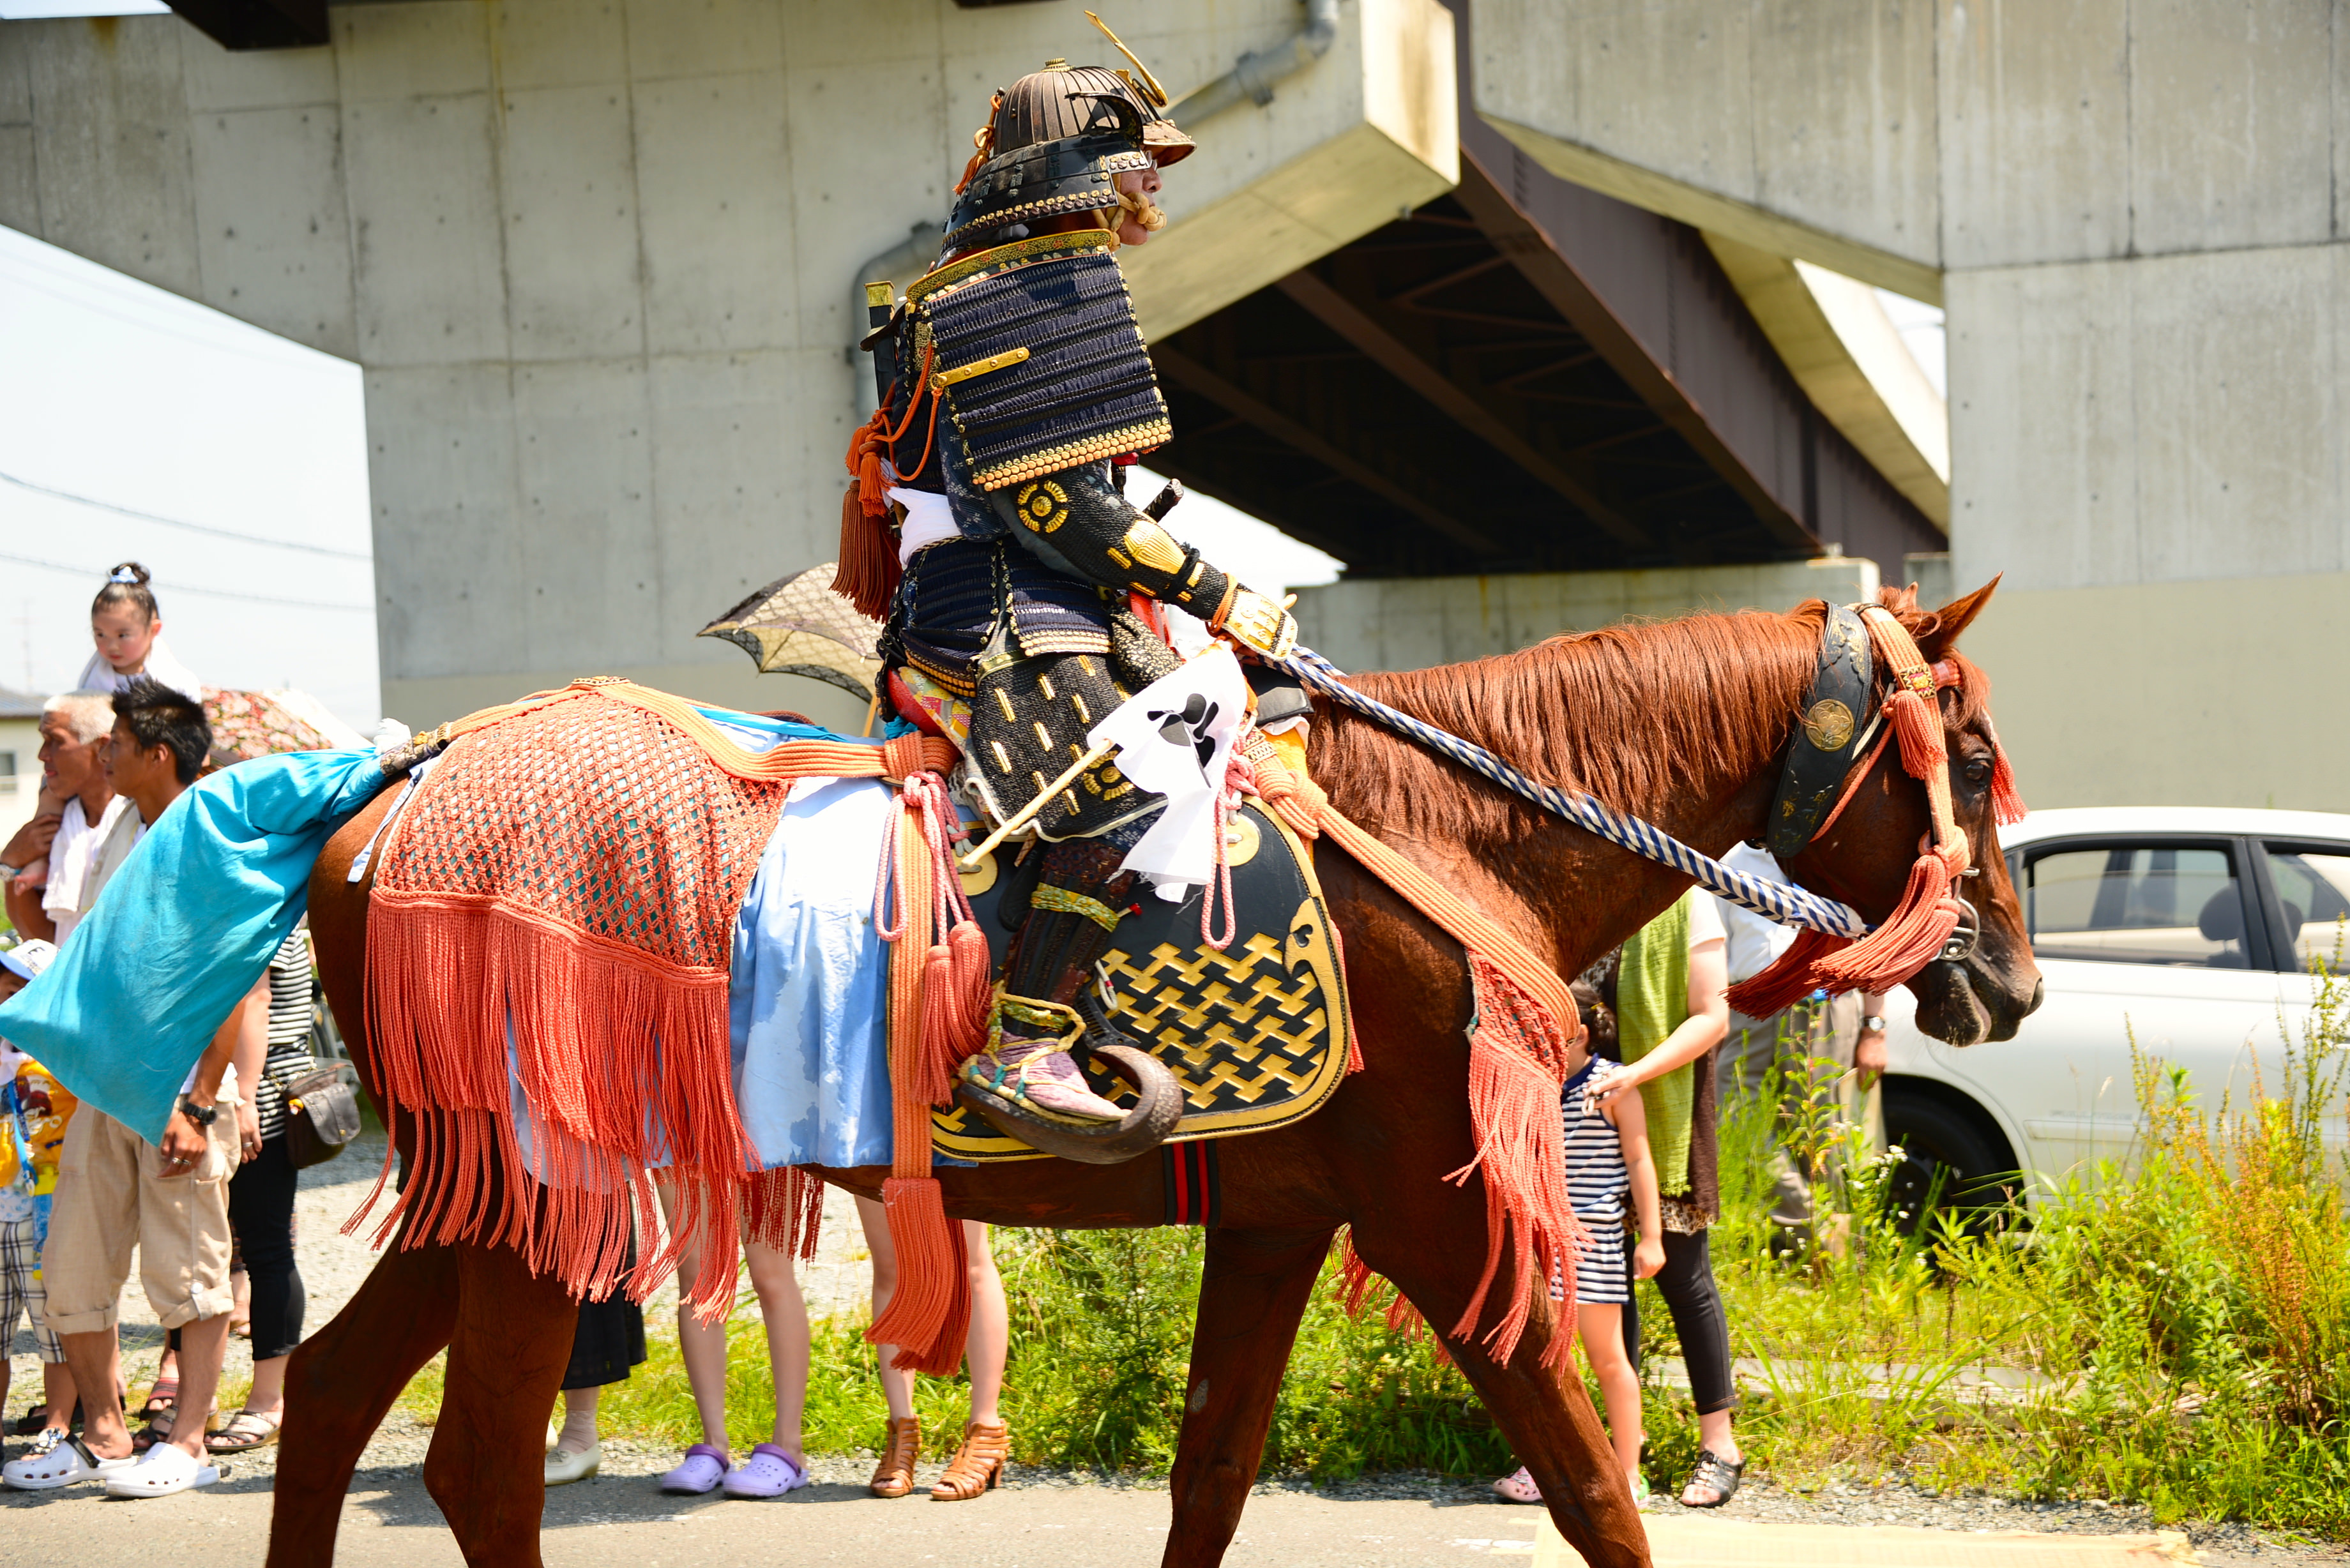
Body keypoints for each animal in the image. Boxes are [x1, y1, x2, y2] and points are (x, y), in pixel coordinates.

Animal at [270, 585, 2040, 1568]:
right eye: (1957, 753)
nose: (2011, 983)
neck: (1444, 830)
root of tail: (394, 783)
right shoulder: (1437, 1215)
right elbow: (1592, 1486)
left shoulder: (1278, 1216)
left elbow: (1208, 1477)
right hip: (533, 1182)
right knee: (475, 1462)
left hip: (475, 1192)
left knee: (335, 1395)